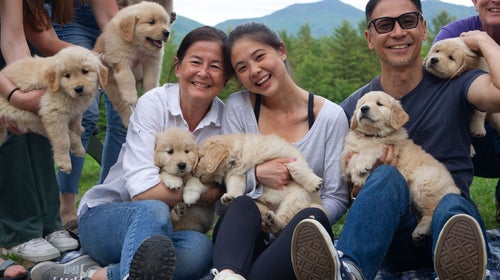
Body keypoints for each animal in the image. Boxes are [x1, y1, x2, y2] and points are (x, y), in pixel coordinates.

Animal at [191, 133, 324, 236]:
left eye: (200, 157)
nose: (192, 171)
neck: (239, 156)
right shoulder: (236, 175)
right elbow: (235, 186)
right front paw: (230, 196)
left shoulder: (287, 155)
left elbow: (296, 169)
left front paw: (314, 183)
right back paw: (271, 220)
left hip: (296, 198)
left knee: (284, 223)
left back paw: (274, 221)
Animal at [344, 90, 460, 243]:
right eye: (362, 104)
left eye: (379, 104)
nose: (364, 109)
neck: (370, 135)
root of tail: (454, 188)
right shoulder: (346, 154)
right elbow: (352, 158)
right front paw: (357, 176)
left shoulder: (388, 146)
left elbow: (371, 148)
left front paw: (362, 167)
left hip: (423, 182)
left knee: (432, 210)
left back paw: (420, 230)